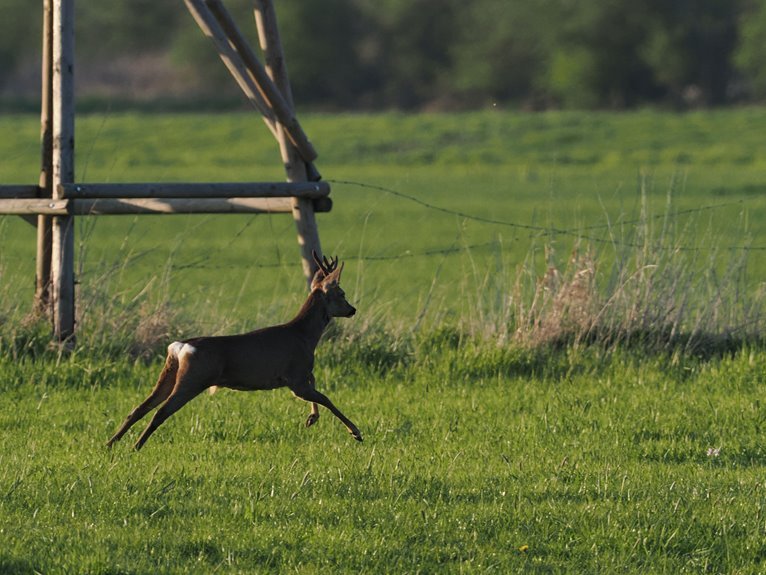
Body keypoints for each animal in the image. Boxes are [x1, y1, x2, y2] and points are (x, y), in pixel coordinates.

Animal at [106, 251, 362, 450]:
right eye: (342, 294)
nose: (352, 310)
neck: (304, 336)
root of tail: (179, 347)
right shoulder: (295, 376)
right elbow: (326, 397)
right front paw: (355, 431)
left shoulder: (300, 375)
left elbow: (316, 383)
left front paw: (312, 418)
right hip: (193, 378)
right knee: (160, 412)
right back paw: (135, 446)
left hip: (169, 374)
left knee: (140, 407)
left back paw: (111, 444)